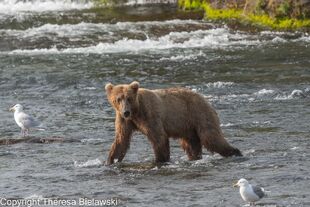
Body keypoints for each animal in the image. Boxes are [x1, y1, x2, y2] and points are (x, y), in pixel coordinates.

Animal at [105, 81, 241, 164]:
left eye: (129, 98)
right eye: (118, 99)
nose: (126, 112)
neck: (136, 112)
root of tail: (206, 99)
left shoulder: (150, 115)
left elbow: (159, 138)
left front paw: (160, 160)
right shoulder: (124, 121)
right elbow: (121, 140)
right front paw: (110, 161)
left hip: (199, 114)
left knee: (211, 138)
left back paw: (235, 152)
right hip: (188, 126)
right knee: (191, 145)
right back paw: (194, 158)